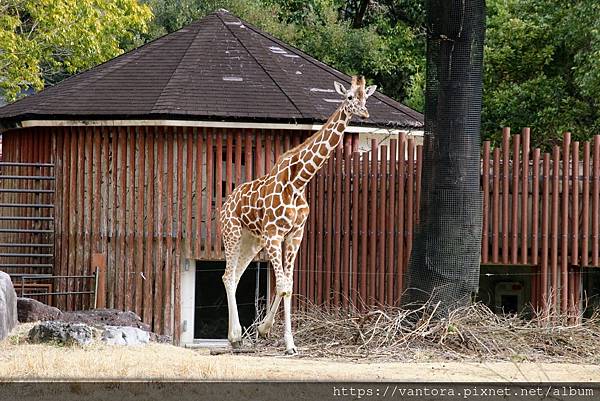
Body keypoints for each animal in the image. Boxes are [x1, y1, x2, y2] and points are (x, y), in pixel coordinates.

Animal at [218, 75, 372, 354]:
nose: (365, 114)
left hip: (251, 240)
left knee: (234, 276)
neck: (299, 181)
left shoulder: (294, 235)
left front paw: (269, 332)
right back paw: (235, 336)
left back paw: (236, 338)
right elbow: (282, 286)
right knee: (227, 276)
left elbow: (287, 286)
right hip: (232, 233)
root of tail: (226, 203)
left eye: (366, 97)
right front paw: (284, 341)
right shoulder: (274, 235)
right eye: (349, 97)